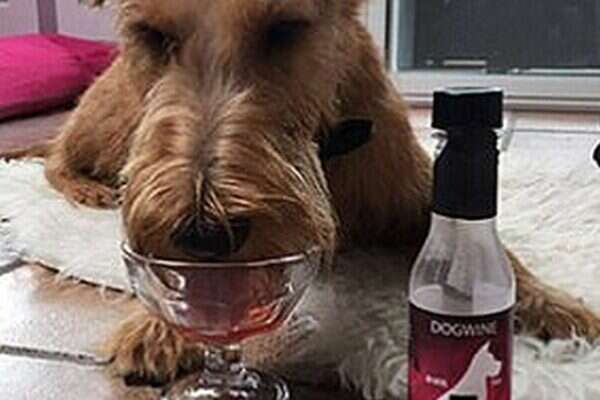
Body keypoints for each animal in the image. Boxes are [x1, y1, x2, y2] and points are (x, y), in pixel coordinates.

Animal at [4, 0, 600, 389]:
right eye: (153, 34)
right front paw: (161, 327)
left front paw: (556, 304)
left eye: (285, 28)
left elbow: (501, 257)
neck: (333, 142)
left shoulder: (416, 196)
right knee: (53, 159)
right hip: (114, 119)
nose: (203, 232)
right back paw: (88, 187)